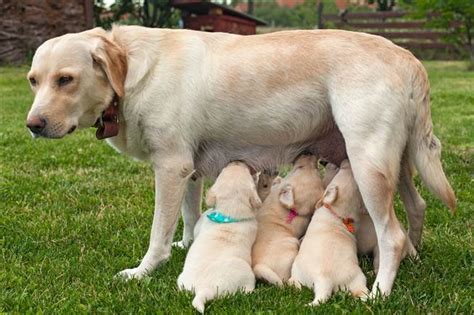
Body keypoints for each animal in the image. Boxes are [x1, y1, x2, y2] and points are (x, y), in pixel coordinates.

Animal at [25, 25, 456, 298]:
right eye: (33, 80)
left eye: (66, 79)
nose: (33, 125)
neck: (132, 70)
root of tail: (407, 57)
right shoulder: (188, 170)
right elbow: (188, 215)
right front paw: (188, 243)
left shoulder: (170, 167)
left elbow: (157, 233)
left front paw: (143, 271)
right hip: (395, 161)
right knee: (417, 207)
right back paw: (411, 259)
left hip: (368, 164)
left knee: (392, 233)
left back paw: (381, 290)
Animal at [177, 162, 262, 314]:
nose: (236, 161)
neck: (228, 213)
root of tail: (203, 290)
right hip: (247, 274)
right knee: (246, 289)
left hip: (182, 281)